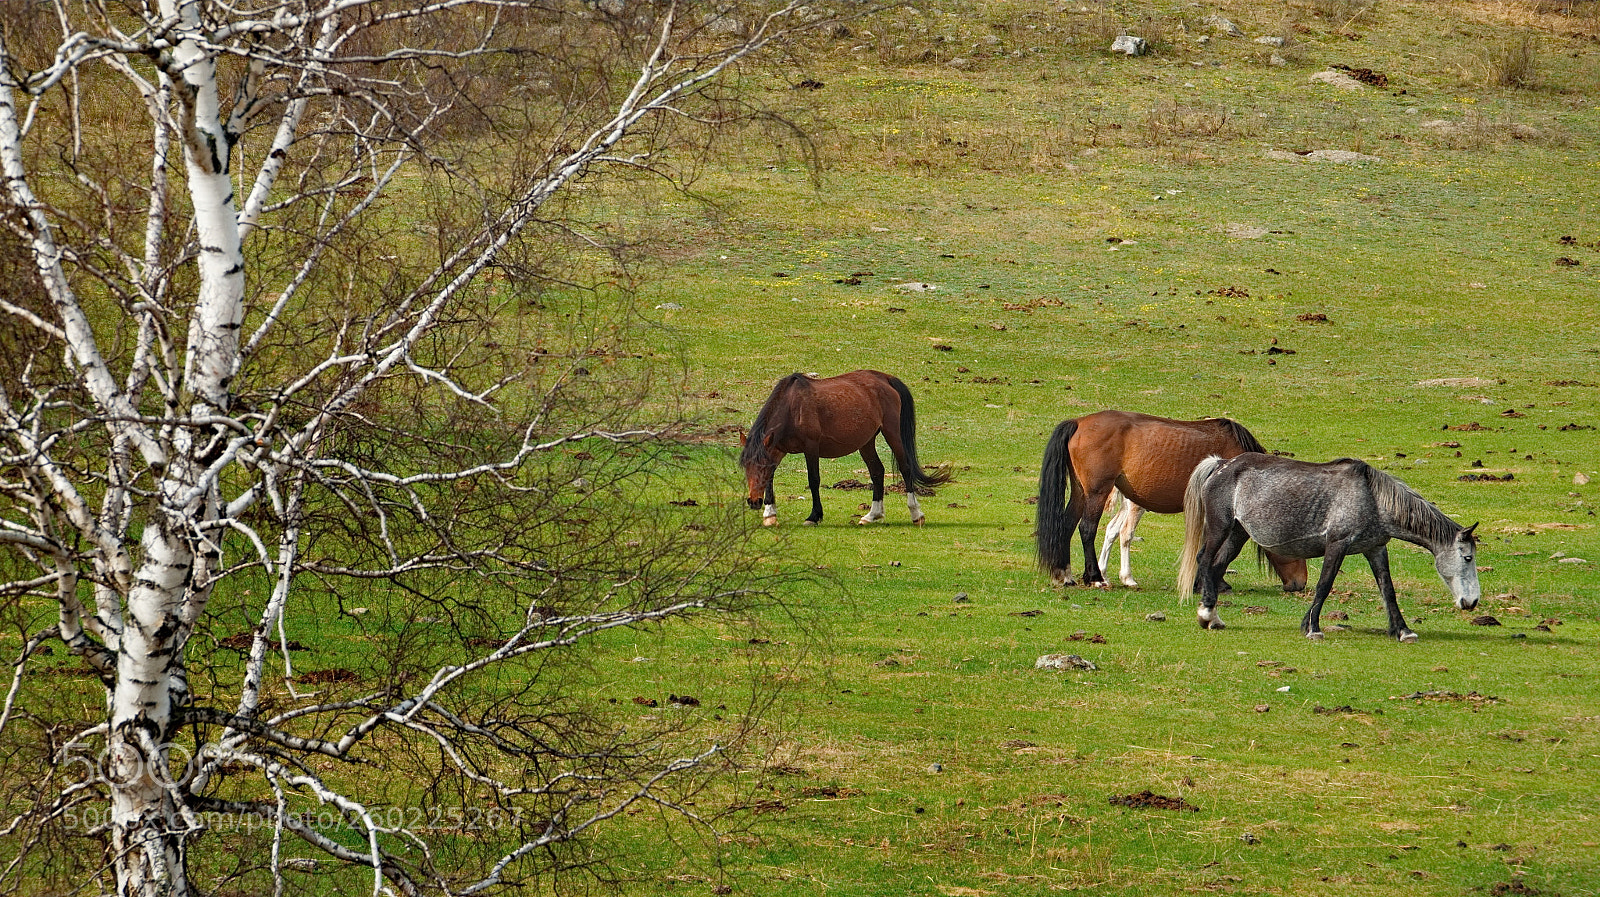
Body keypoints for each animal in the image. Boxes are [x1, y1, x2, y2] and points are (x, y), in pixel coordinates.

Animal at [739, 371, 952, 526]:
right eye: (746, 467)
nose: (754, 502)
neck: (792, 407)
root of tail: (885, 378)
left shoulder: (811, 447)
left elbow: (813, 480)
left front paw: (814, 516)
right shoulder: (777, 450)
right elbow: (770, 480)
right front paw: (770, 514)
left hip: (892, 432)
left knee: (905, 468)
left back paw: (916, 514)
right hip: (866, 442)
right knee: (877, 471)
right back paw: (872, 515)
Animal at [1035, 410, 1308, 591]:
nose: (1300, 583)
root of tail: (1078, 422)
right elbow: (1218, 546)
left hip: (1081, 492)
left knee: (1067, 525)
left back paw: (1064, 575)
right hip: (1096, 492)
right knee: (1087, 528)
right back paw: (1094, 577)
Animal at [1177, 453, 1481, 642]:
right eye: (1467, 558)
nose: (1472, 602)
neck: (1371, 498)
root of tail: (1221, 464)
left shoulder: (1375, 549)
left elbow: (1388, 590)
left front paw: (1403, 631)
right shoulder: (1337, 544)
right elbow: (1325, 584)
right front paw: (1313, 628)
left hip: (1238, 534)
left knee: (1217, 567)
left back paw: (1214, 618)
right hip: (1220, 528)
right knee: (1205, 560)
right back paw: (1206, 613)